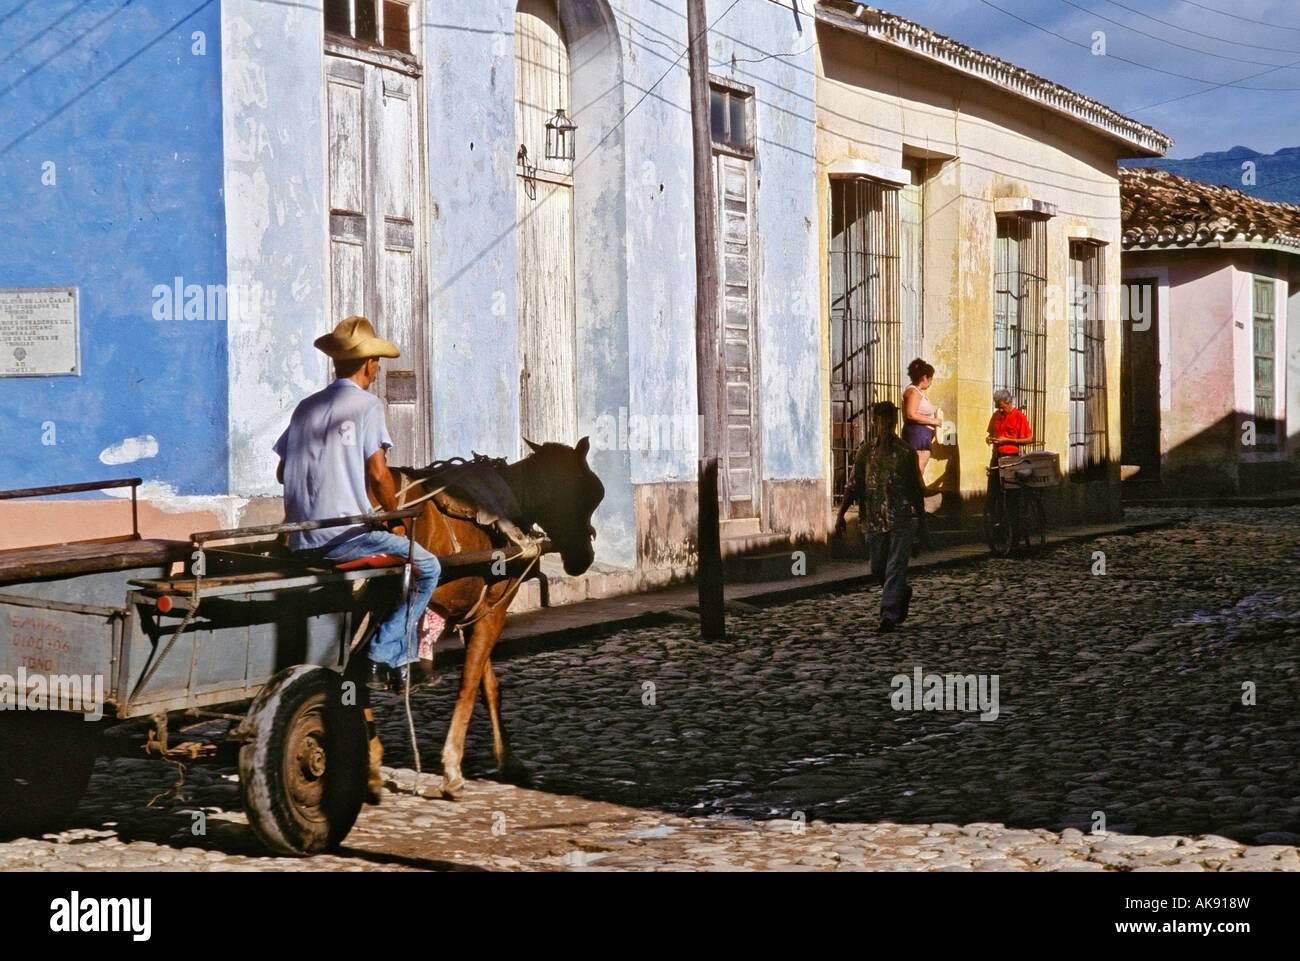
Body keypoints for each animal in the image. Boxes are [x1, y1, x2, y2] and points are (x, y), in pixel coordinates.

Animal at [369, 436, 605, 795]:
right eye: (589, 491)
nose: (583, 558)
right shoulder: (493, 612)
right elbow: (469, 682)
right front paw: (452, 766)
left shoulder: (479, 612)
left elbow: (489, 686)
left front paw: (508, 760)